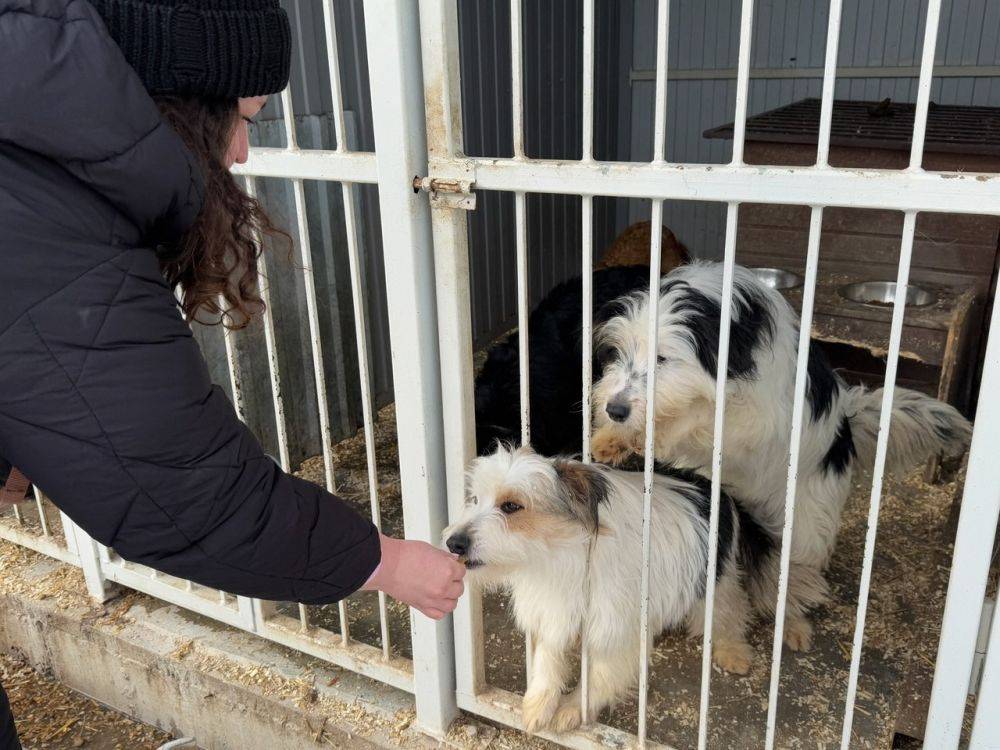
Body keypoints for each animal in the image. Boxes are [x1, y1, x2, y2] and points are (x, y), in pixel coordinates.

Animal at [588, 262, 972, 648]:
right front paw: (611, 438)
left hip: (805, 526)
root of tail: (847, 430)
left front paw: (650, 431)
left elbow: (701, 414)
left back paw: (793, 625)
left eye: (662, 358)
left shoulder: (760, 418)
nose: (614, 410)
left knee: (789, 573)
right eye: (619, 353)